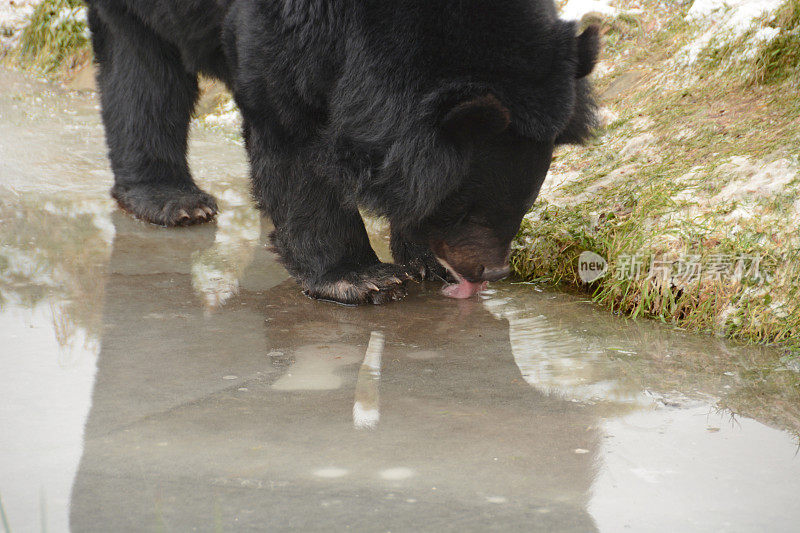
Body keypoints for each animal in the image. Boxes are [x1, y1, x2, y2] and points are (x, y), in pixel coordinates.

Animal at [89, 0, 600, 306]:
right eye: (465, 209)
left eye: (525, 204)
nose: (491, 271)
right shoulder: (289, 32)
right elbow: (293, 136)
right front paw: (363, 277)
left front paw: (423, 260)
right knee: (142, 69)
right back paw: (173, 200)